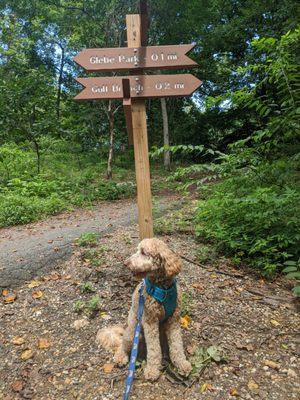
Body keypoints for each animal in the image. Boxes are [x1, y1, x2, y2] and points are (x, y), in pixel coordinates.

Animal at [96, 238, 192, 382]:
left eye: (143, 252)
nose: (126, 263)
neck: (162, 288)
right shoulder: (150, 321)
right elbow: (154, 349)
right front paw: (152, 370)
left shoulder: (173, 320)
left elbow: (176, 345)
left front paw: (181, 364)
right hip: (132, 332)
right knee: (122, 345)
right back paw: (120, 357)